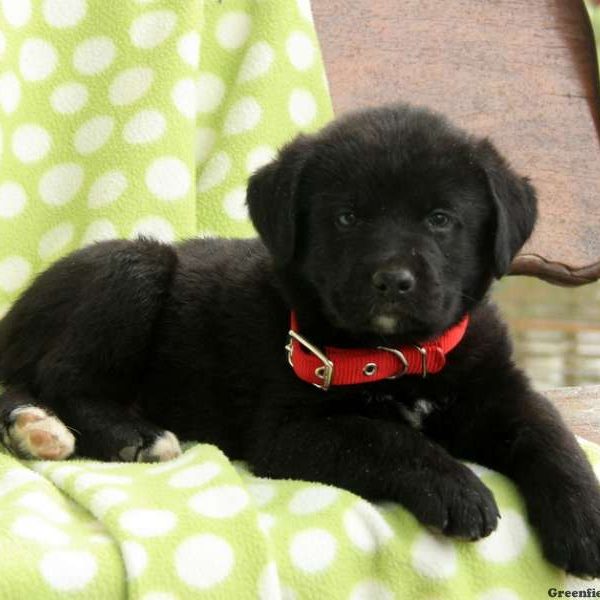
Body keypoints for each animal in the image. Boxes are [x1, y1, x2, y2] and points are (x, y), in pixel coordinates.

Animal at [1, 104, 600, 576]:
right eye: (347, 217)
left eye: (440, 218)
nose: (392, 281)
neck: (399, 358)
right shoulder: (288, 431)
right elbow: (383, 437)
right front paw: (457, 487)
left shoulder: (497, 392)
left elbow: (551, 435)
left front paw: (585, 520)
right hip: (132, 268)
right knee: (61, 377)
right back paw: (133, 436)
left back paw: (36, 429)